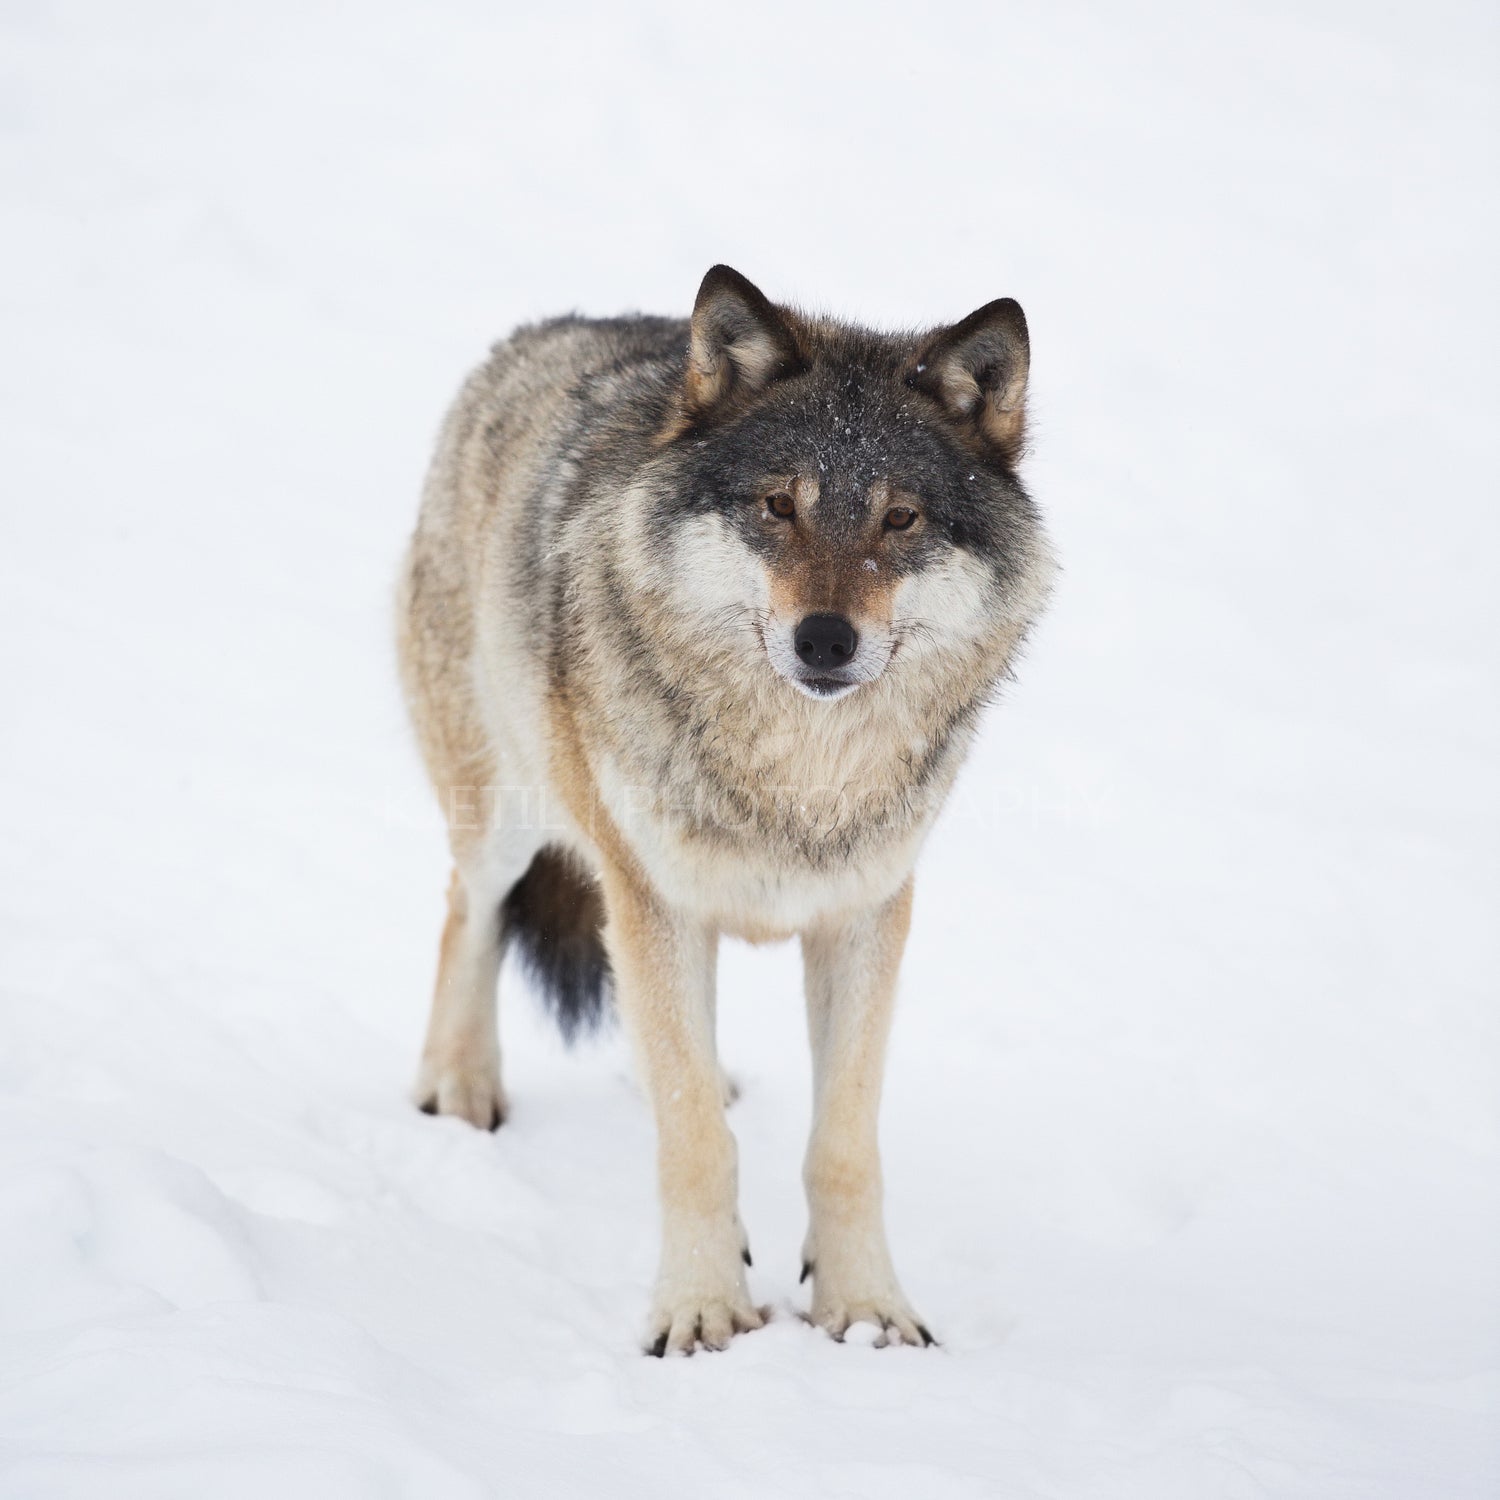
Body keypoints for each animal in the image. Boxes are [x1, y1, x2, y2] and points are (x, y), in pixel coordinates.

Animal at [399, 264, 1056, 1356]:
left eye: (901, 519)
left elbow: (842, 1143)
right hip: (507, 812)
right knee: (466, 908)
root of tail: (543, 332)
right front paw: (698, 1311)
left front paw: (867, 1312)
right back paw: (457, 1086)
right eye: (779, 506)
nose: (825, 639)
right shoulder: (655, 901)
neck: (797, 781)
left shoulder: (864, 916)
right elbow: (695, 1135)